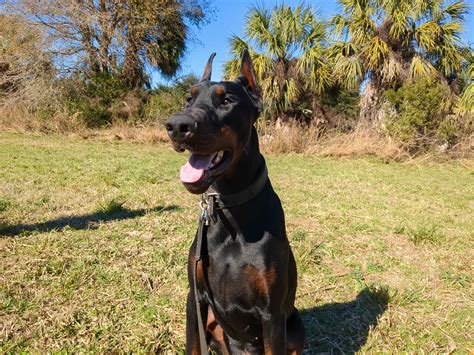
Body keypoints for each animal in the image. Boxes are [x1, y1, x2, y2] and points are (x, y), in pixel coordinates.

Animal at [167, 49, 304, 354]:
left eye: (227, 100)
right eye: (188, 99)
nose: (177, 126)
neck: (231, 208)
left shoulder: (271, 315)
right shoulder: (195, 299)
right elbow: (192, 345)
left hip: (294, 326)